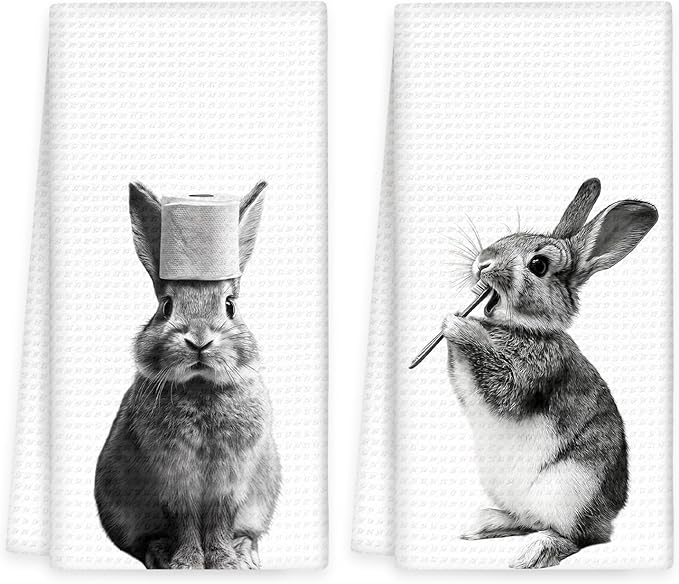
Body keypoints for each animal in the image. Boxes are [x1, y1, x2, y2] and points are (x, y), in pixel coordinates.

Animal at [95, 181, 281, 569]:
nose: (198, 340)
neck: (199, 386)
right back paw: (159, 554)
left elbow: (220, 520)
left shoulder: (229, 482)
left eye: (230, 306)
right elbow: (185, 522)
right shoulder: (174, 480)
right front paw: (187, 564)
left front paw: (225, 562)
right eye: (166, 307)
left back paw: (245, 551)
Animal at [442, 178, 657, 569]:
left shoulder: (535, 374)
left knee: (579, 537)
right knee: (527, 520)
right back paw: (484, 524)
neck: (527, 329)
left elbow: (502, 386)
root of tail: (610, 515)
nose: (483, 263)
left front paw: (460, 326)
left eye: (538, 265)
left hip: (571, 490)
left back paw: (534, 553)